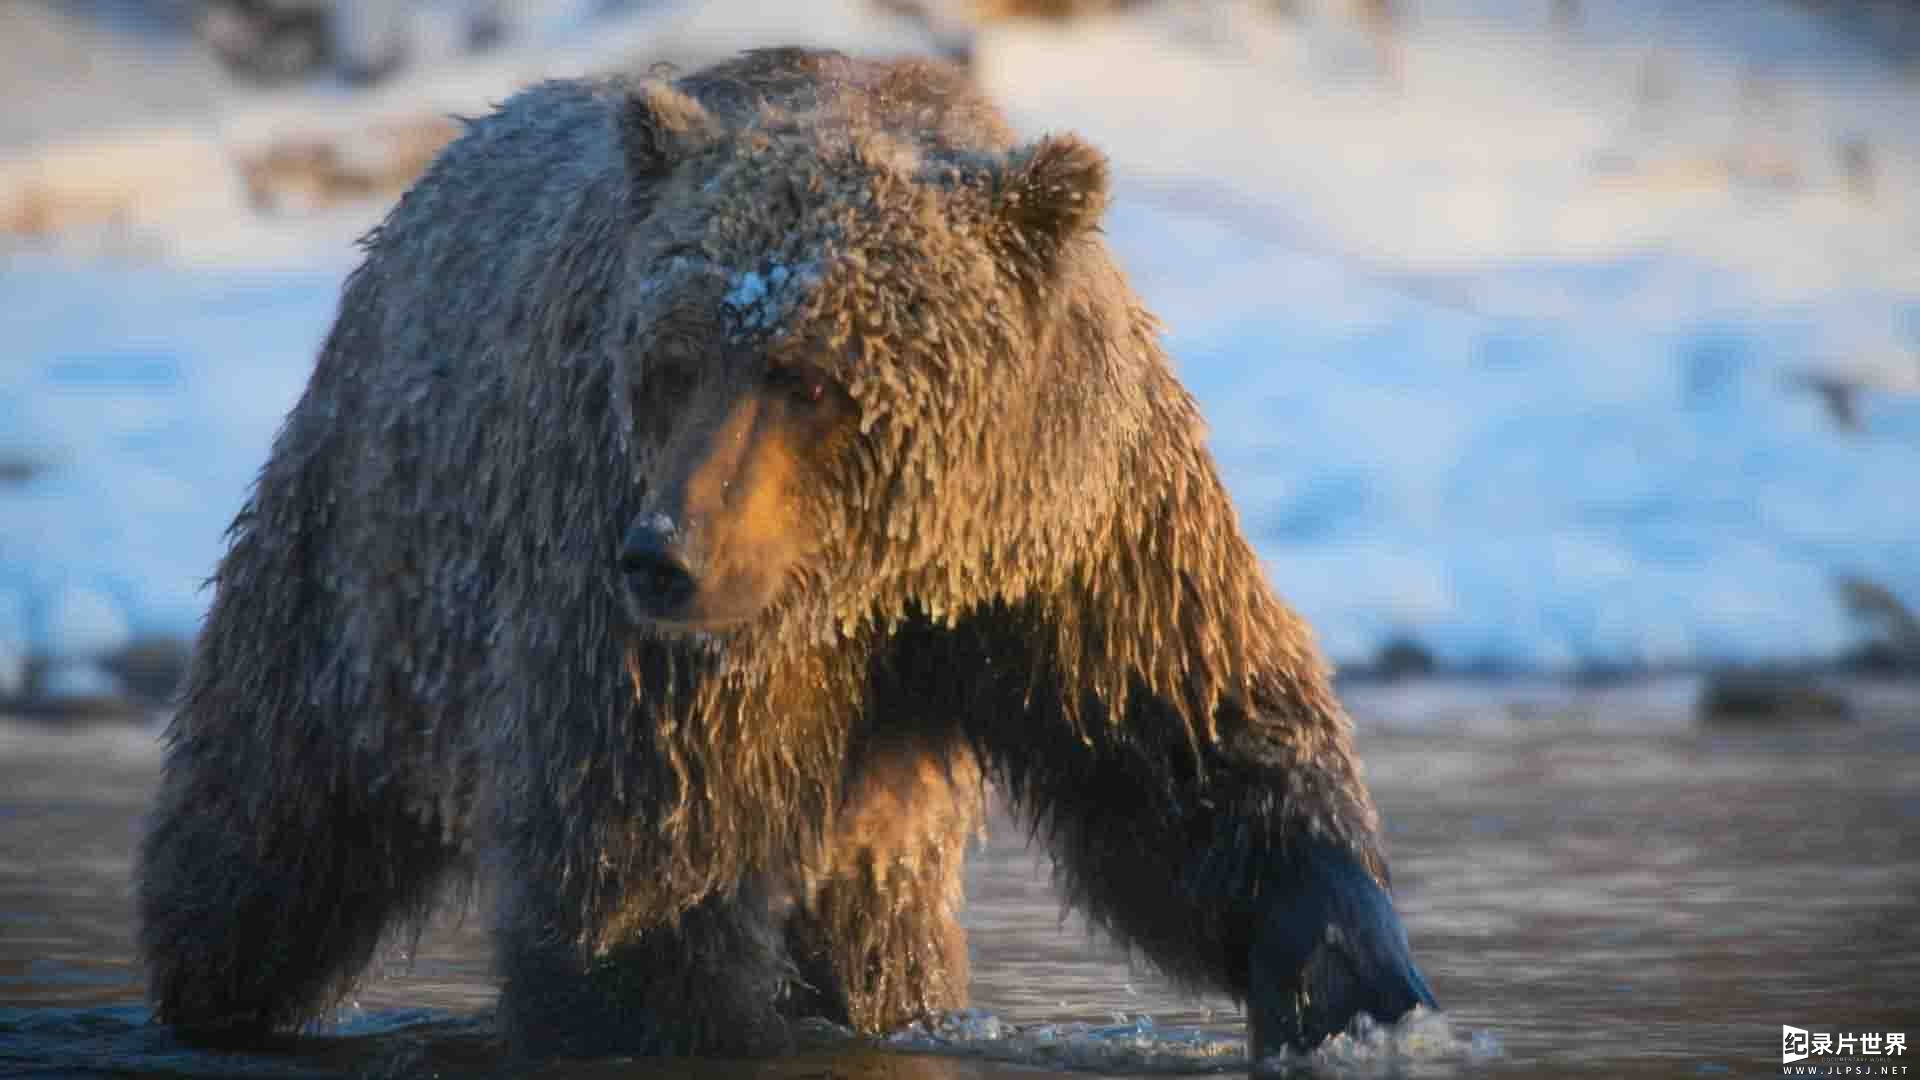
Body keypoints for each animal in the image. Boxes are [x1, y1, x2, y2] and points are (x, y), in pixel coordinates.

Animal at [139, 46, 1443, 1053]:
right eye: (669, 361)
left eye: (808, 374)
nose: (664, 554)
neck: (894, 569)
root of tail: (436, 167)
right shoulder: (650, 629)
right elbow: (639, 871)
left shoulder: (1081, 536)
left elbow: (1190, 754)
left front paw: (1353, 978)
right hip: (367, 563)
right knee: (272, 814)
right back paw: (213, 980)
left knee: (880, 930)